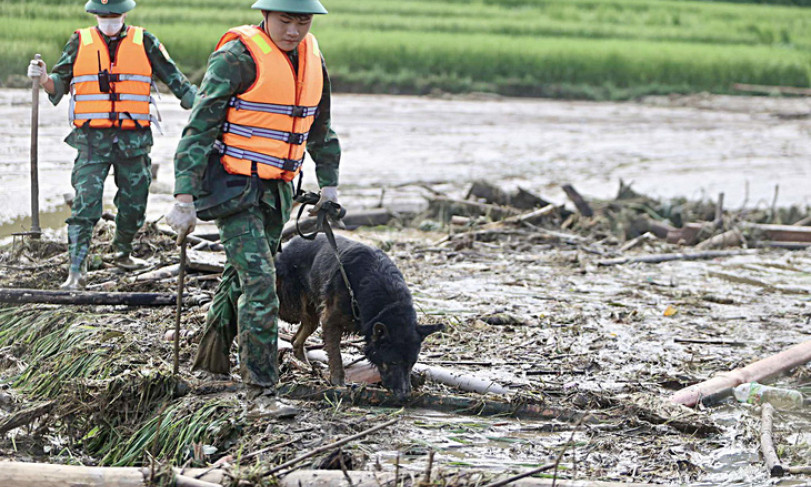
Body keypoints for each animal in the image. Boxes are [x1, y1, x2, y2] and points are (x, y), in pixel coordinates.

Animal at [278, 235, 444, 400]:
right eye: (394, 363)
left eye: (412, 364)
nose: (404, 396)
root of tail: (288, 245)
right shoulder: (330, 321)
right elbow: (336, 356)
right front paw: (338, 382)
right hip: (291, 309)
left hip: (311, 315)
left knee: (296, 340)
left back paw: (304, 365)